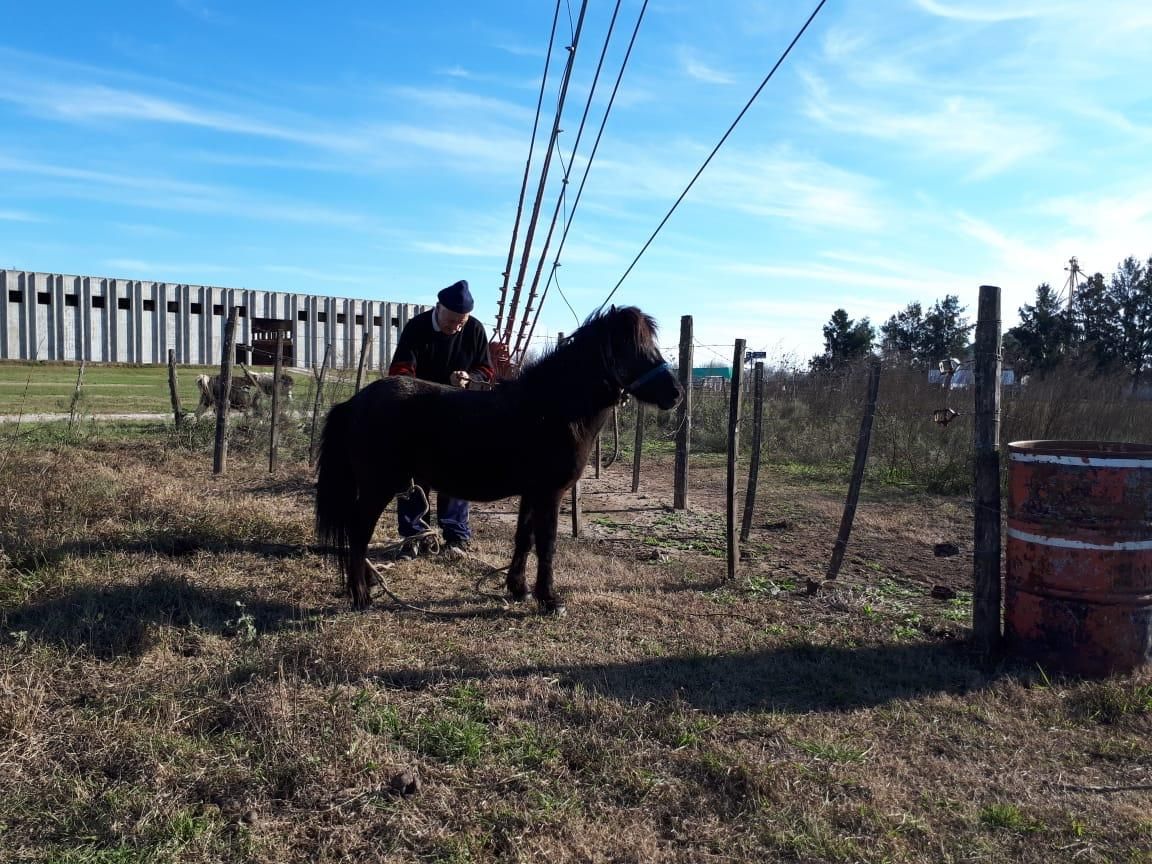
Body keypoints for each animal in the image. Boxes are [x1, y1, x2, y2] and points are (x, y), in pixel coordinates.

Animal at [315, 305, 682, 613]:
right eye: (631, 349)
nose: (675, 394)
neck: (551, 410)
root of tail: (354, 402)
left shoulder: (532, 494)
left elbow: (525, 538)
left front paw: (519, 590)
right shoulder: (550, 494)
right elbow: (547, 544)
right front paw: (550, 600)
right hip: (378, 487)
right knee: (358, 533)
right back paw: (362, 597)